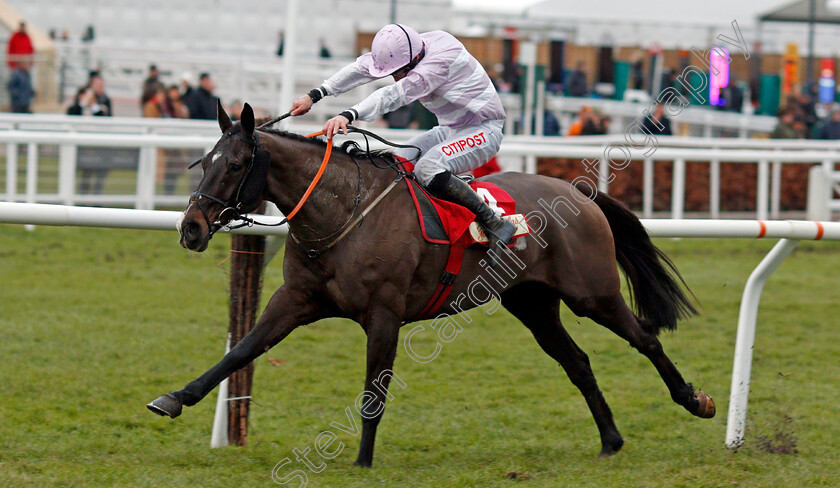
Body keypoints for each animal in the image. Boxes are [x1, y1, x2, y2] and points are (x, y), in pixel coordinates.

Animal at [148, 101, 712, 468]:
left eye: (236, 163)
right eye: (204, 160)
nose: (190, 228)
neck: (342, 211)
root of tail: (582, 194)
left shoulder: (384, 314)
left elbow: (374, 391)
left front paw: (362, 462)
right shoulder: (296, 299)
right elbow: (240, 351)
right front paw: (174, 398)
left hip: (592, 294)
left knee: (645, 338)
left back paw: (694, 400)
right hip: (533, 305)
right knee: (578, 362)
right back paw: (611, 439)